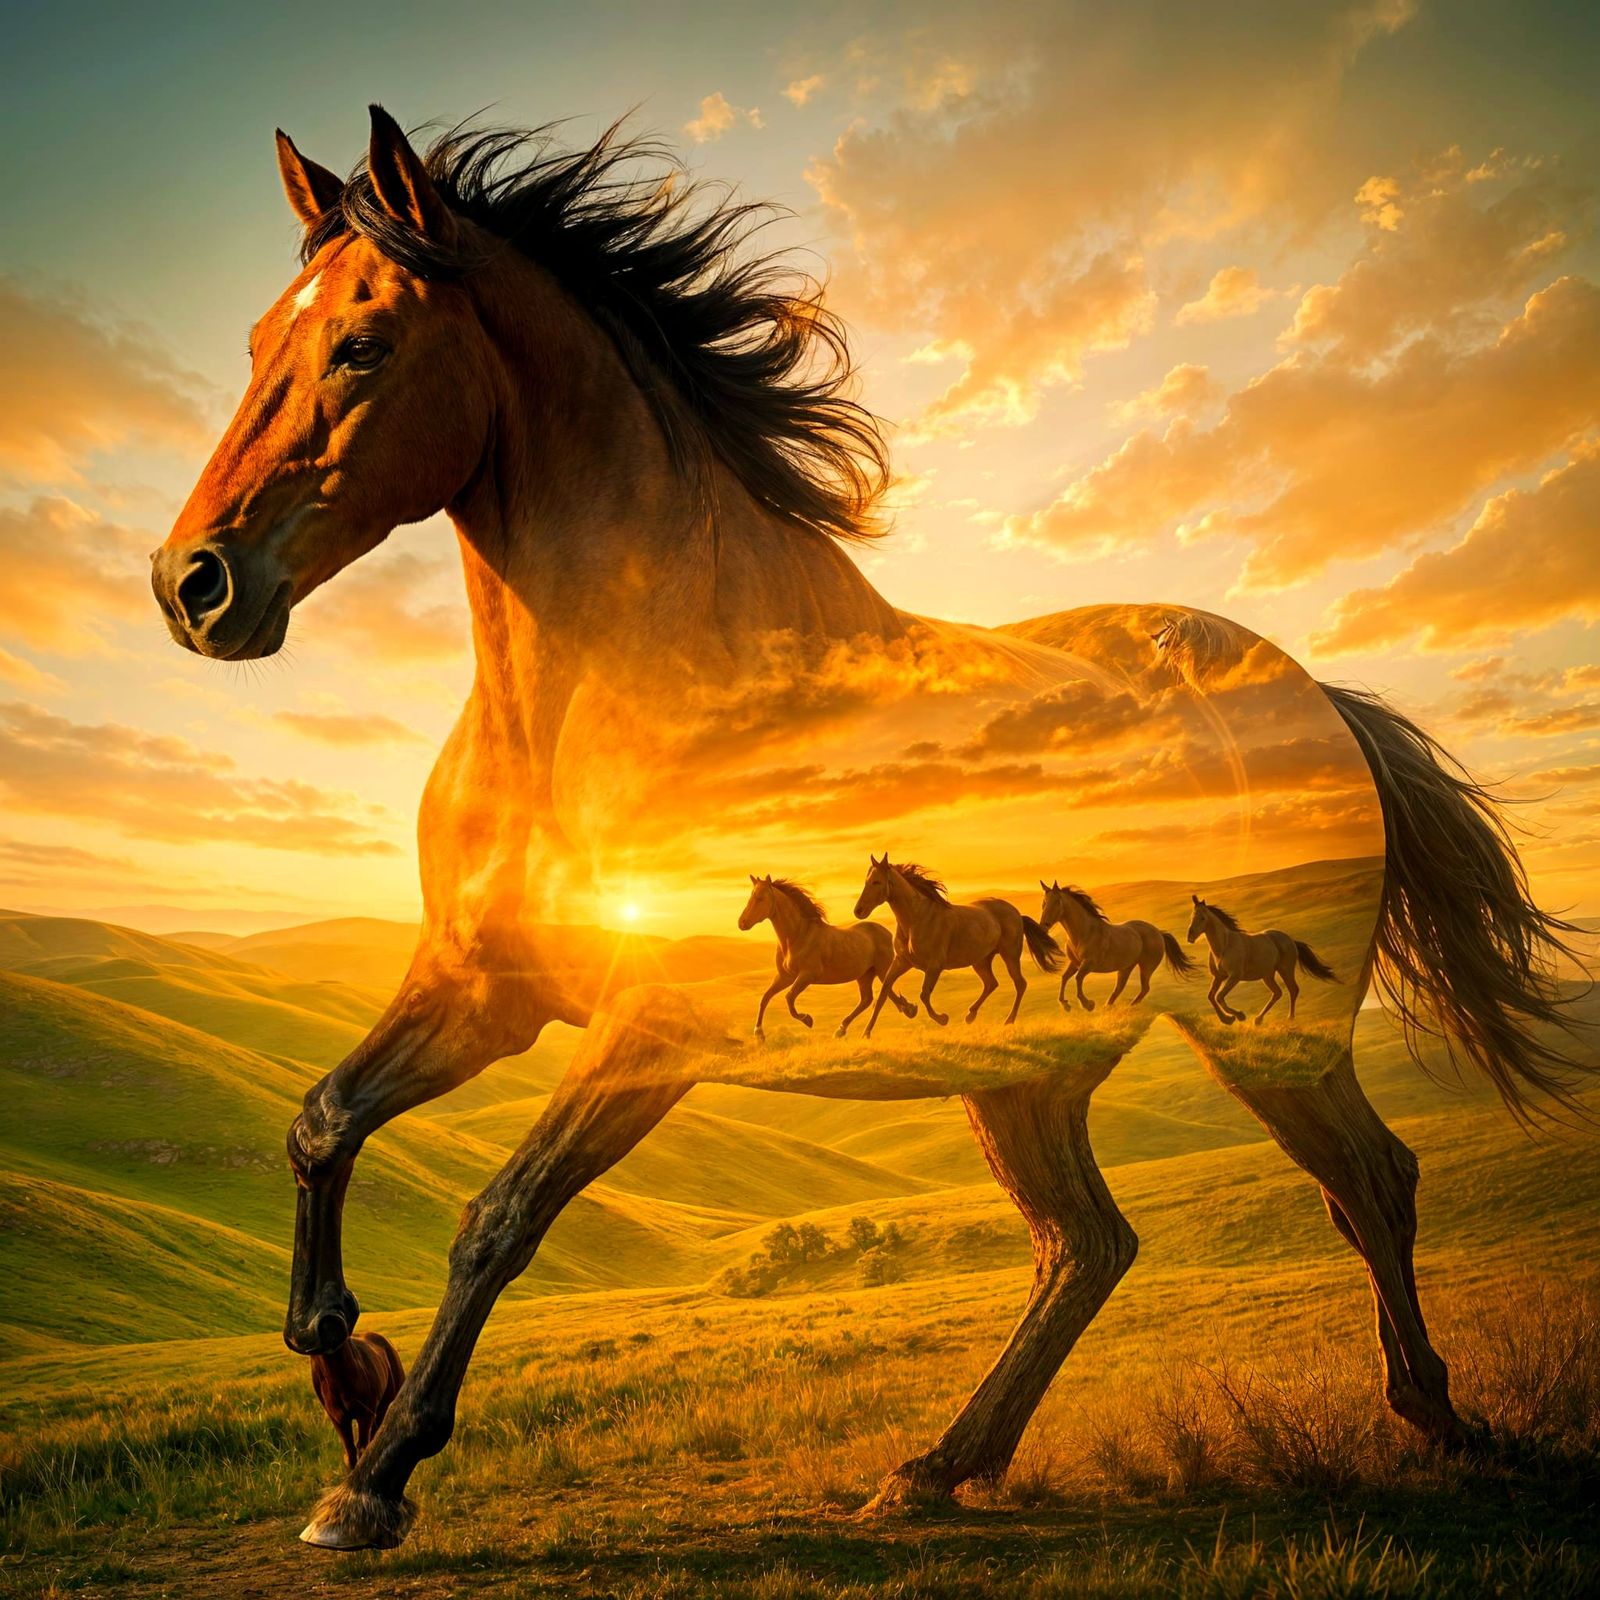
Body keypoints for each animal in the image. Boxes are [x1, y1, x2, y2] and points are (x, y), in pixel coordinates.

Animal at [737, 874, 913, 1039]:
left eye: (760, 898)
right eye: (751, 897)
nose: (742, 923)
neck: (798, 936)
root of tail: (887, 933)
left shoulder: (807, 976)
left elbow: (789, 997)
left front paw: (807, 1020)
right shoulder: (785, 976)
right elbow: (765, 998)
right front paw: (759, 1034)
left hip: (882, 971)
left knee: (882, 994)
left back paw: (908, 1009)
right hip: (865, 975)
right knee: (867, 999)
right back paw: (841, 1030)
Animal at [854, 857, 1063, 1034]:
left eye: (876, 882)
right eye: (866, 881)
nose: (858, 911)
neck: (917, 919)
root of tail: (1017, 913)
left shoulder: (934, 966)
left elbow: (924, 994)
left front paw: (943, 1019)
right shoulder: (901, 962)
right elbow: (883, 993)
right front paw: (866, 1033)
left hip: (1010, 954)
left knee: (1019, 983)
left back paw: (1008, 1021)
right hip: (980, 960)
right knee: (991, 983)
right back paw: (970, 1015)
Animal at [1039, 881, 1193, 1011]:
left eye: (1057, 901)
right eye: (1044, 902)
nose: (1044, 926)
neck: (1085, 932)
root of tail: (1159, 933)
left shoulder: (1088, 964)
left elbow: (1078, 978)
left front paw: (1088, 1004)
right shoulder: (1075, 963)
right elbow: (1065, 977)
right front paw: (1065, 1004)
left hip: (1146, 967)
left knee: (1144, 988)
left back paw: (1128, 1007)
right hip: (1126, 967)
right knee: (1120, 987)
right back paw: (1108, 1006)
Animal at [1186, 895, 1337, 1025]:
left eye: (1202, 918)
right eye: (1191, 917)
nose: (1190, 937)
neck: (1224, 945)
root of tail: (1291, 940)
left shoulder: (1234, 976)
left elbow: (1219, 997)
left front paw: (1239, 1016)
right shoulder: (1218, 976)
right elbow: (1211, 997)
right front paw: (1227, 1019)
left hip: (1285, 970)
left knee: (1293, 990)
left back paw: (1290, 1018)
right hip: (1268, 975)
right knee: (1277, 992)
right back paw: (1258, 1020)